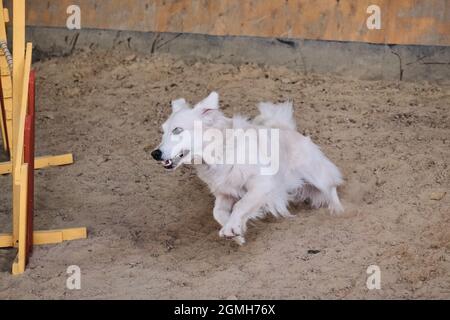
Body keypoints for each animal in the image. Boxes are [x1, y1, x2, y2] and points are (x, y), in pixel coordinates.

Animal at [152, 92, 344, 245]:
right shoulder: (225, 193)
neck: (220, 151)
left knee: (331, 188)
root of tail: (288, 129)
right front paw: (236, 232)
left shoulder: (262, 185)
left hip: (315, 175)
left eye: (177, 130)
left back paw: (338, 211)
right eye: (163, 131)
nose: (154, 154)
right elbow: (218, 212)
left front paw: (231, 228)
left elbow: (241, 205)